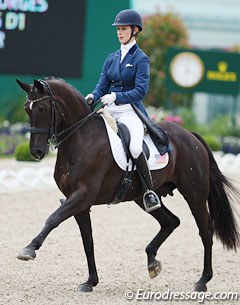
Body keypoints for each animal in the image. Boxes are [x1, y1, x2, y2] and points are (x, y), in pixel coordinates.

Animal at [15, 78, 239, 292]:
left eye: (44, 109)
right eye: (27, 109)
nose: (36, 152)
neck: (81, 139)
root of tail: (191, 135)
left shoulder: (82, 195)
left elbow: (53, 218)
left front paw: (29, 249)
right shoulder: (80, 203)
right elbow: (88, 241)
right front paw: (90, 281)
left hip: (194, 194)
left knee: (205, 231)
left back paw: (202, 281)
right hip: (142, 197)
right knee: (170, 221)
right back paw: (152, 262)